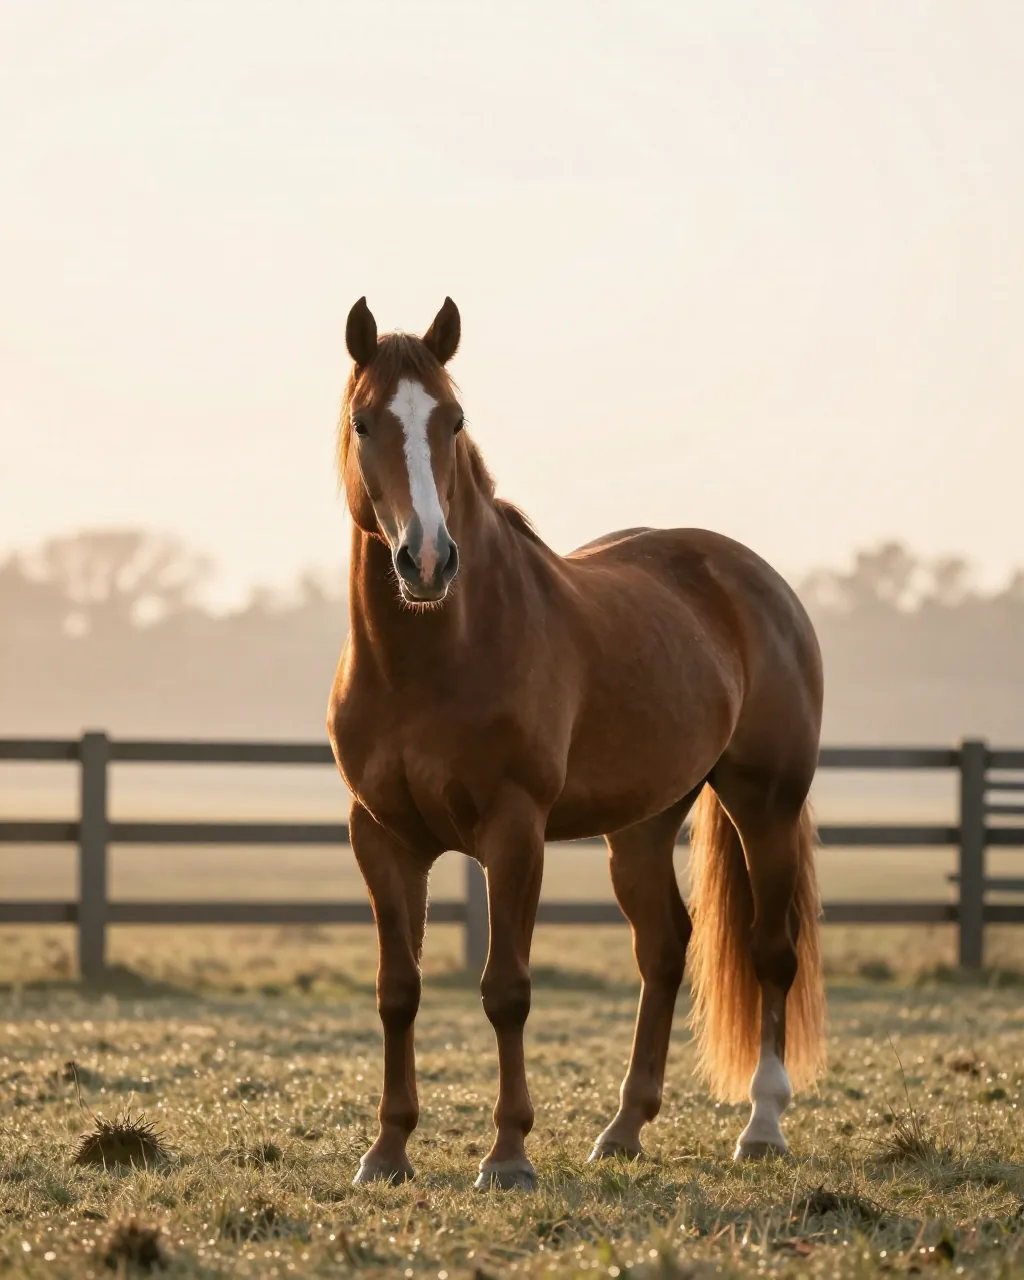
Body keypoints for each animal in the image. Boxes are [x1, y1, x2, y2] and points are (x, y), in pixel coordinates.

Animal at [328, 297, 826, 1191]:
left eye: (454, 419)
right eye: (363, 421)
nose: (428, 559)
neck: (432, 655)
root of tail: (758, 581)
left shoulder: (514, 831)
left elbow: (506, 990)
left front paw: (508, 1156)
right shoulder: (380, 836)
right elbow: (397, 990)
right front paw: (386, 1152)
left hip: (764, 805)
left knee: (773, 953)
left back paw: (762, 1126)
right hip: (641, 826)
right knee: (664, 949)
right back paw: (623, 1129)